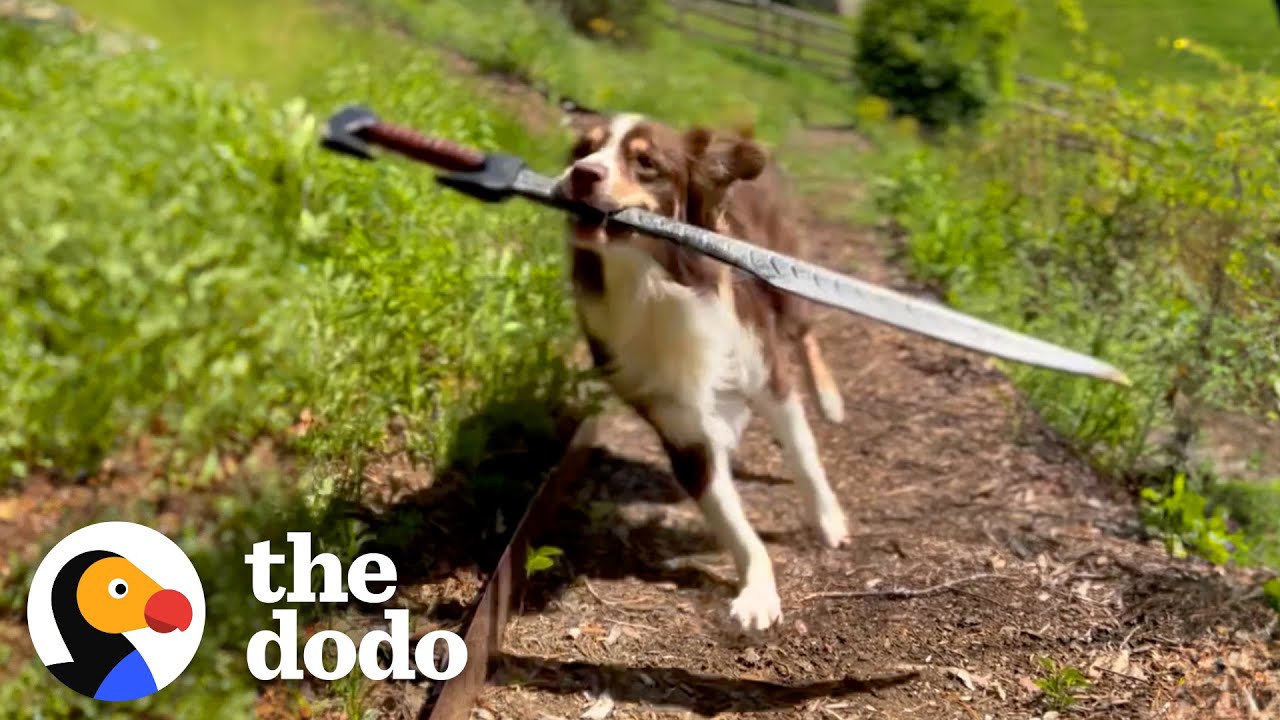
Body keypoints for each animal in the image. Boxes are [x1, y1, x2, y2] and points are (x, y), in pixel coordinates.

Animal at [550, 112, 849, 627]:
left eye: (646, 163)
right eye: (582, 150)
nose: (582, 174)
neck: (655, 284)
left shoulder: (767, 371)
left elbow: (803, 453)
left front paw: (828, 519)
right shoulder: (681, 427)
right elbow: (731, 519)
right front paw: (758, 591)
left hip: (785, 284)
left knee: (805, 333)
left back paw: (830, 399)